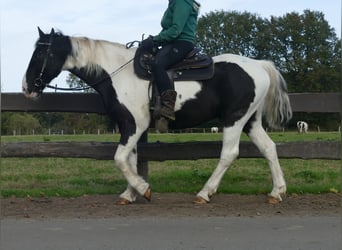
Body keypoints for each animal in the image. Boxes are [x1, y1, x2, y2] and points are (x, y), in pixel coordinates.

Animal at [22, 28, 292, 204]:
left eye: (40, 55)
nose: (26, 87)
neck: (117, 73)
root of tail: (259, 65)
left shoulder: (134, 124)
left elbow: (120, 158)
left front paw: (142, 189)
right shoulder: (128, 126)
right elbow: (130, 159)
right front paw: (130, 193)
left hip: (234, 119)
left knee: (229, 153)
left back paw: (205, 193)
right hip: (250, 121)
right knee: (269, 148)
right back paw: (277, 191)